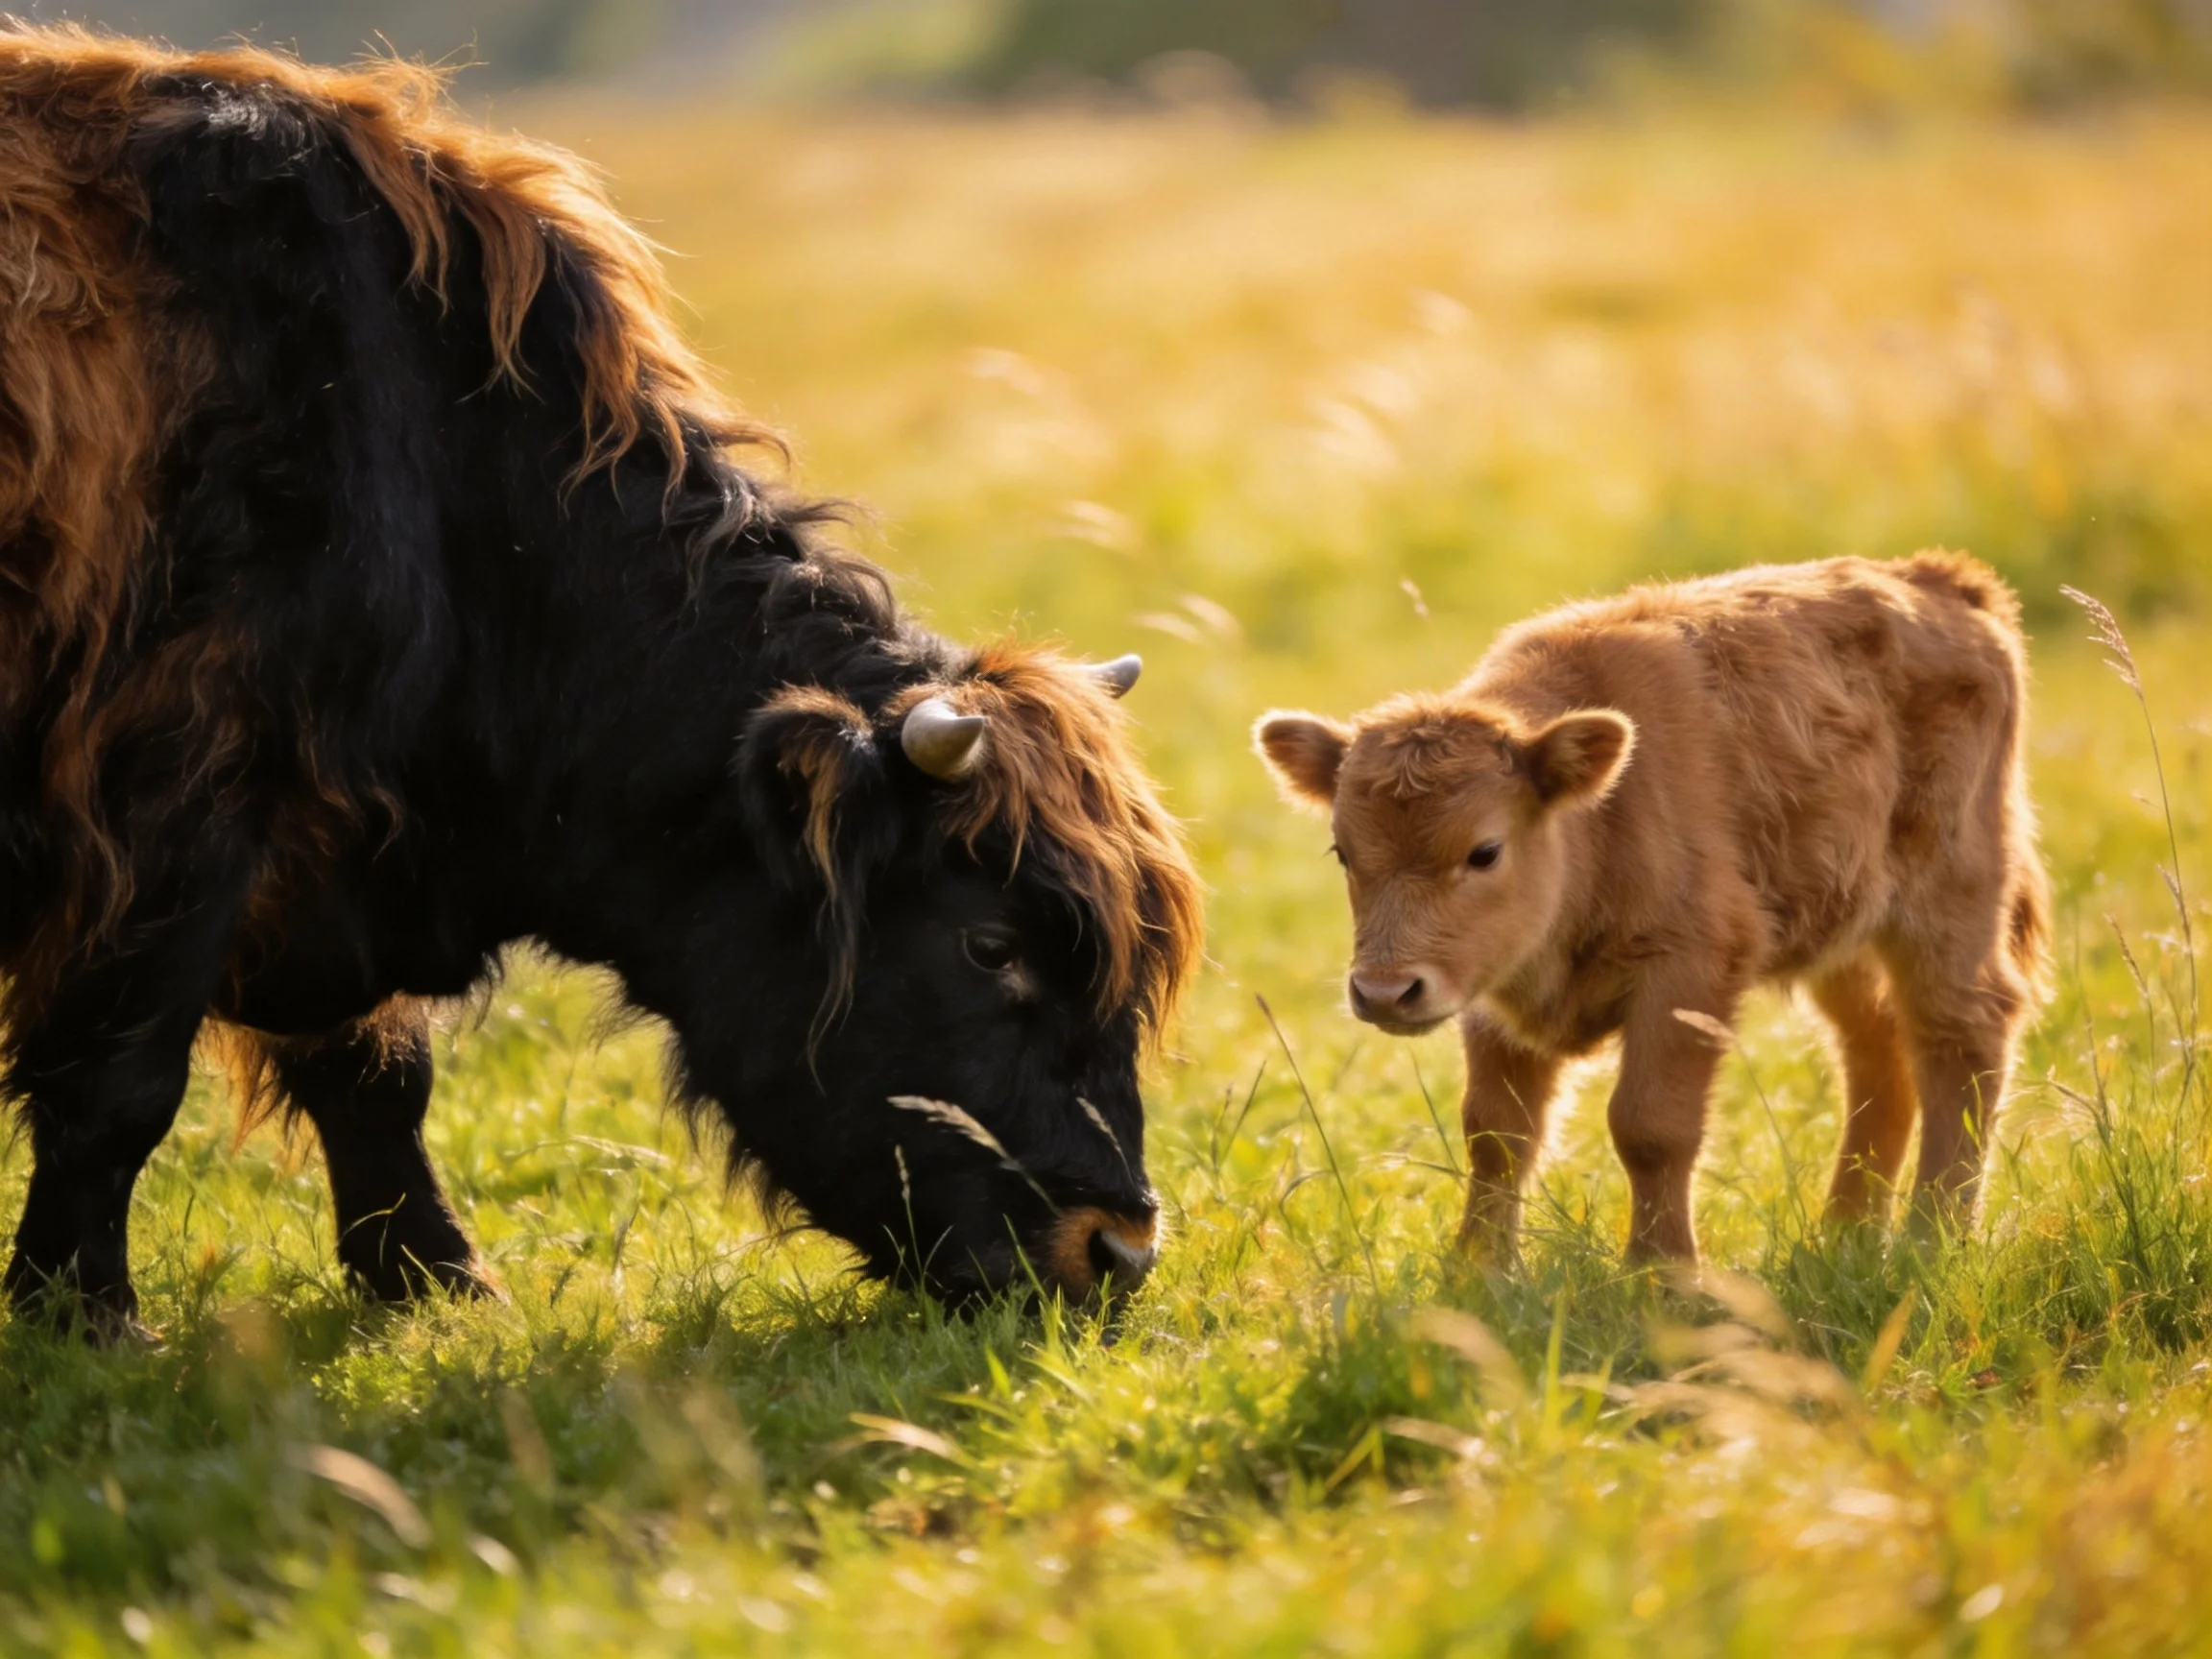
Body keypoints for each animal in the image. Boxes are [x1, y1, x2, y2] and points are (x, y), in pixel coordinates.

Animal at [0, 28, 1203, 1341]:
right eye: (990, 945)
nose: (1120, 1247)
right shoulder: (175, 802)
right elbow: (116, 1083)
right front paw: (85, 1313)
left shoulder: (323, 838)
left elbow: (376, 1072)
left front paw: (435, 1277)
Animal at [1255, 553, 2048, 1265]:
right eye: (1343, 852)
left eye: (1484, 851)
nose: (1386, 992)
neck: (1598, 817)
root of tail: (1946, 582)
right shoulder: (1489, 988)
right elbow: (1497, 1131)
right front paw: (1478, 1270)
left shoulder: (1689, 970)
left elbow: (1650, 1126)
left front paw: (1660, 1274)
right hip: (1843, 935)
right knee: (1878, 1050)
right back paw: (1845, 1234)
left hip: (1948, 903)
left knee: (1963, 1036)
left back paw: (1932, 1236)